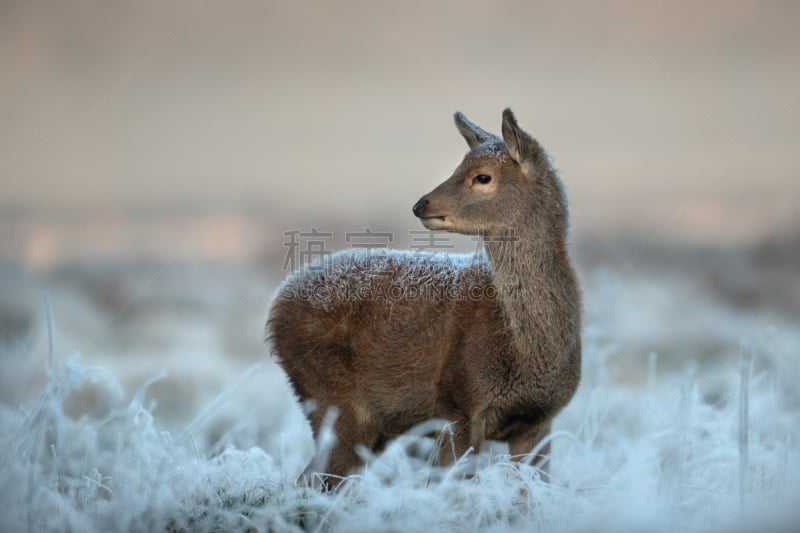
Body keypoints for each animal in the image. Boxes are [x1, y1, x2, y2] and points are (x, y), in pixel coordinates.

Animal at [268, 108, 580, 486]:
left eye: (483, 176)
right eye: (458, 166)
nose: (420, 204)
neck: (528, 350)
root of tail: (276, 304)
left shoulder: (540, 421)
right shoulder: (457, 404)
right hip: (331, 398)